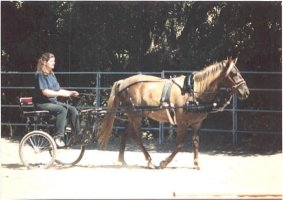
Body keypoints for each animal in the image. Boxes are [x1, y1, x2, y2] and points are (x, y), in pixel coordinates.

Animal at [98, 56, 251, 169]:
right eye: (234, 73)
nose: (246, 92)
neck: (193, 91)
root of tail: (123, 82)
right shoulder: (182, 123)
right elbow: (179, 145)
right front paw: (164, 163)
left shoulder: (197, 123)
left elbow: (196, 142)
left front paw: (196, 163)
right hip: (135, 116)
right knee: (137, 138)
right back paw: (149, 160)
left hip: (134, 116)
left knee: (125, 135)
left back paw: (122, 160)